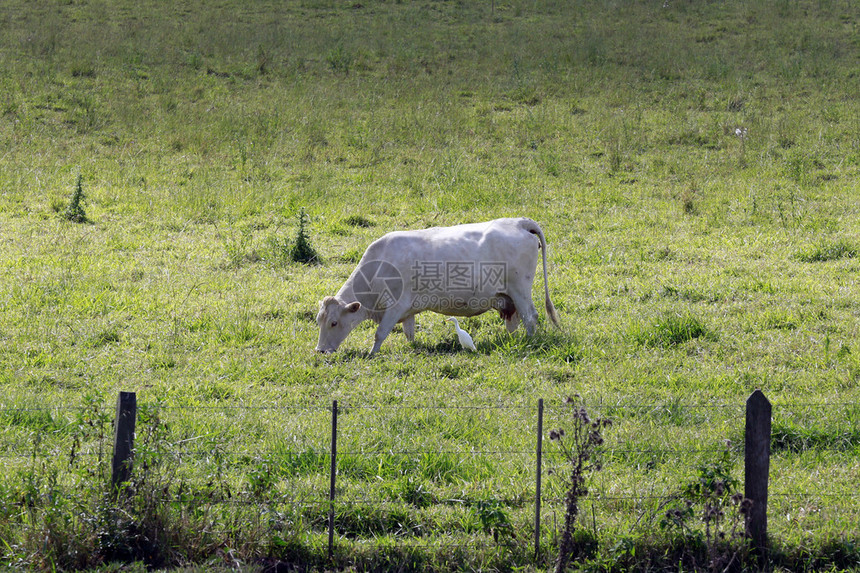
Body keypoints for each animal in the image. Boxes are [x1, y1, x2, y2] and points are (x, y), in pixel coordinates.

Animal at [314, 218, 556, 356]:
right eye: (319, 321)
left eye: (334, 322)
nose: (321, 350)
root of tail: (519, 222)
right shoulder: (407, 310)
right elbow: (409, 332)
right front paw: (412, 348)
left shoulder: (395, 306)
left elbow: (380, 333)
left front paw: (372, 354)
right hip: (508, 298)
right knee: (514, 322)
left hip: (520, 290)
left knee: (530, 317)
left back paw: (529, 341)